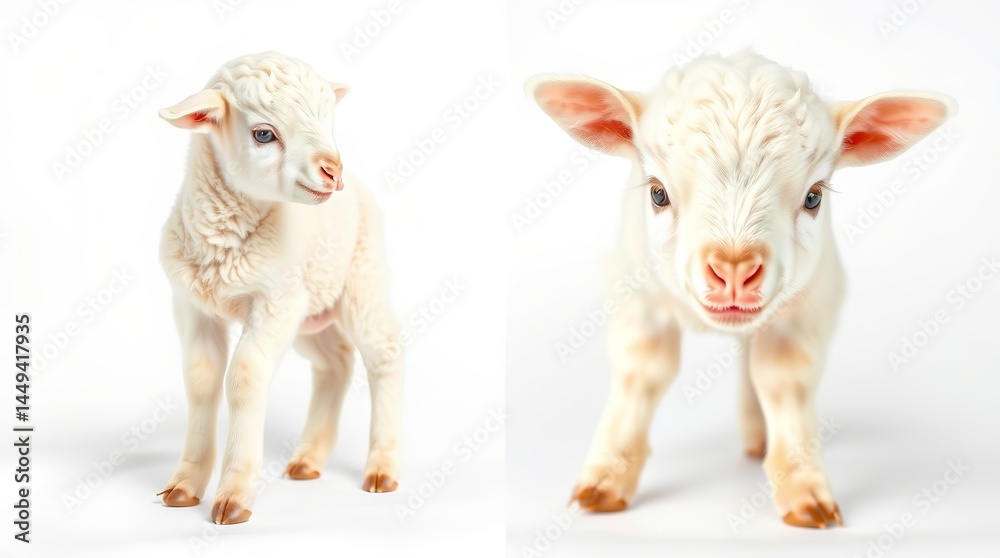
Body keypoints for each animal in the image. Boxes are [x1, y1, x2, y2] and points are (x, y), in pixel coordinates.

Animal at [155, 51, 403, 525]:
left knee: (383, 356)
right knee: (334, 363)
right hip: (311, 313)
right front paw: (185, 485)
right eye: (264, 134)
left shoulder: (275, 300)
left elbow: (245, 374)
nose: (333, 171)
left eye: (329, 120)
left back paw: (382, 468)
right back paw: (308, 460)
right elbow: (201, 378)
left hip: (362, 279)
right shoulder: (191, 306)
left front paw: (234, 495)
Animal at [526, 51, 956, 528]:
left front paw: (805, 492)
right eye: (657, 194)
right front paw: (604, 481)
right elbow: (642, 375)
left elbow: (782, 380)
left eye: (813, 197)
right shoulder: (635, 294)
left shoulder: (808, 306)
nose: (734, 272)